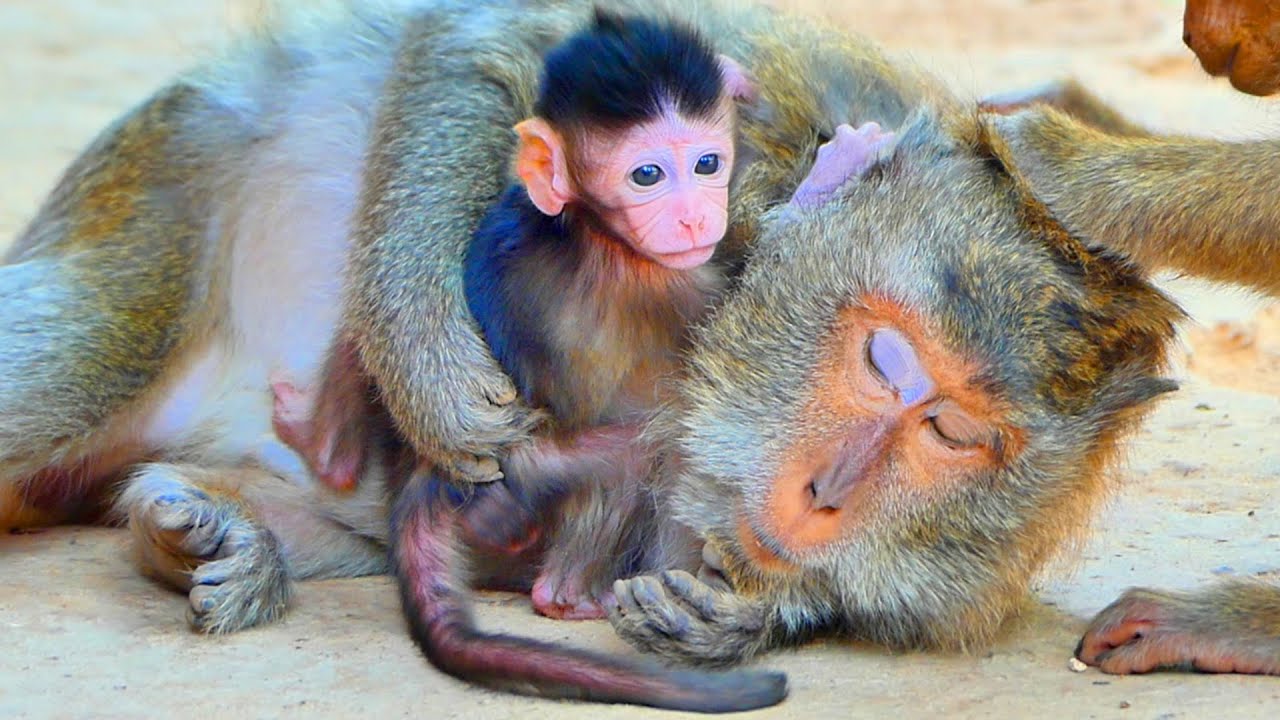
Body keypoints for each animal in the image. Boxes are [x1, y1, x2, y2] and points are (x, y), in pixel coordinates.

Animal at [0, 0, 1232, 710]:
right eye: (886, 362)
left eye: (956, 436)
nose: (827, 493)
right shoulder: (774, 94)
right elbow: (478, 38)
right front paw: (430, 368)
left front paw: (744, 613)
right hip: (165, 195)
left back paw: (205, 530)